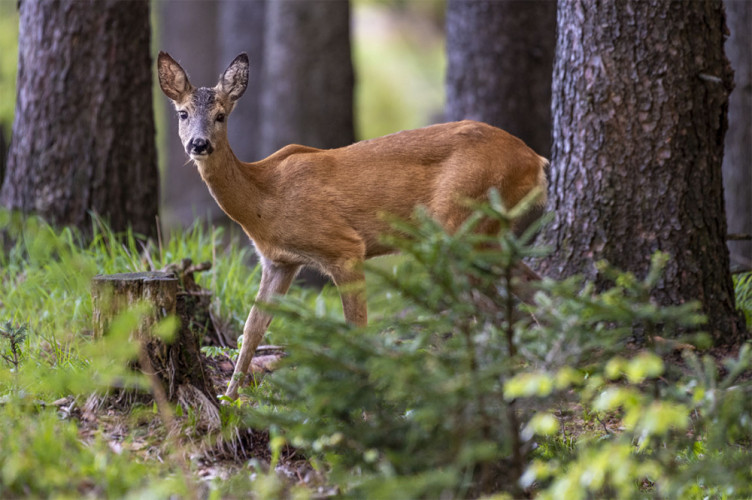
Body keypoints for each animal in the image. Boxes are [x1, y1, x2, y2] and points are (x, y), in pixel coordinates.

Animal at [157, 52, 548, 400]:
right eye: (182, 113)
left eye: (221, 116)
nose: (199, 144)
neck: (264, 198)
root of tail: (536, 160)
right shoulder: (279, 262)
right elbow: (252, 328)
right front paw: (229, 400)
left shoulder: (344, 247)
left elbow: (356, 328)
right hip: (483, 232)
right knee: (527, 291)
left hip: (462, 222)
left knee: (497, 304)